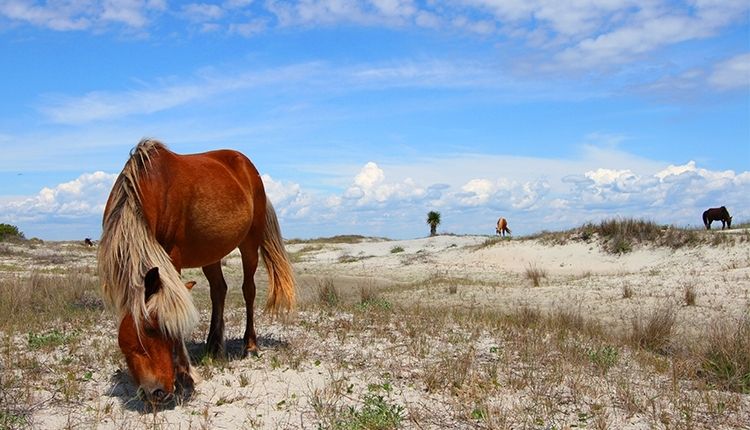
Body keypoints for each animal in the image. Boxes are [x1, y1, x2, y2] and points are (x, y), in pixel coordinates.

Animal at [99, 139, 296, 404]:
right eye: (150, 328)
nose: (158, 391)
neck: (148, 188)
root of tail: (249, 167)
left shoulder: (173, 256)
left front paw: (185, 374)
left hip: (249, 245)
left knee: (248, 290)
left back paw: (250, 346)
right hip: (211, 253)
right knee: (219, 290)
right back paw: (213, 345)